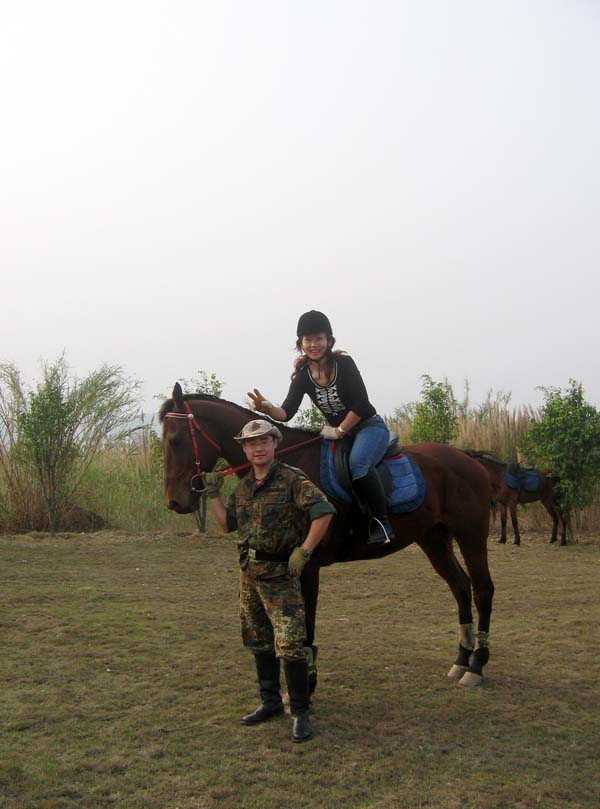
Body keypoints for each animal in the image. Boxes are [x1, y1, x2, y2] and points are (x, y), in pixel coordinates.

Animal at [161, 386, 496, 688]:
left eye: (176, 441)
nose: (175, 502)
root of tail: (468, 458)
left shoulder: (306, 566)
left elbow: (305, 625)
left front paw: (305, 684)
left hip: (471, 535)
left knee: (482, 590)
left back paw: (477, 666)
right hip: (433, 538)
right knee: (460, 586)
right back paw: (461, 659)